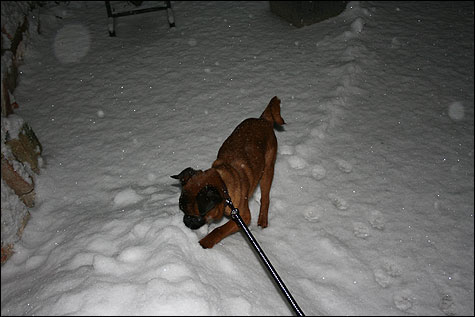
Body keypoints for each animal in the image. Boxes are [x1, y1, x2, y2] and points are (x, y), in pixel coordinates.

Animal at [173, 95, 284, 248]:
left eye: (195, 217)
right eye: (182, 211)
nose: (185, 221)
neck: (224, 185)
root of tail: (263, 120)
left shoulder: (242, 217)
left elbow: (220, 229)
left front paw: (205, 242)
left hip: (267, 170)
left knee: (265, 198)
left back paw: (262, 220)